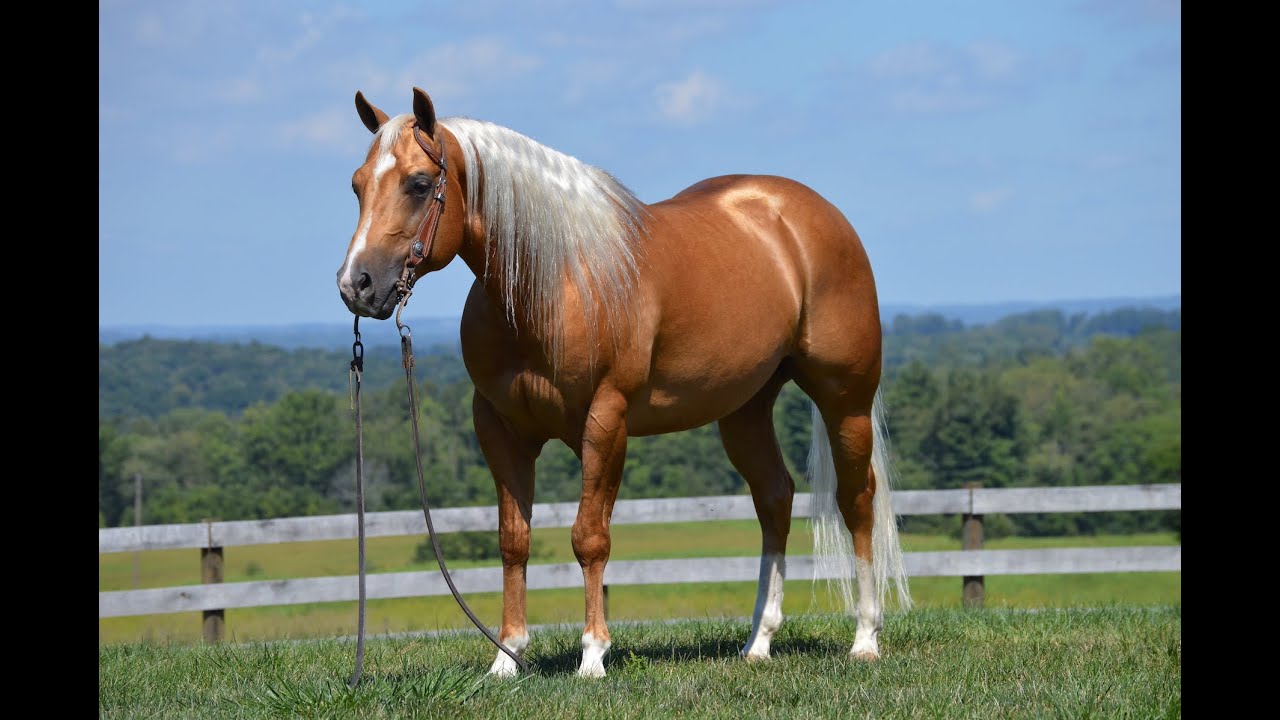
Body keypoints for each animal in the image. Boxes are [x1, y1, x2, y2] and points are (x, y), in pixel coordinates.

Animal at [336, 88, 911, 678]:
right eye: (357, 184)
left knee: (856, 500)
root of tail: (813, 215)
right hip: (745, 410)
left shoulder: (606, 420)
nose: (356, 285)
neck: (556, 282)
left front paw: (592, 655)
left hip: (845, 400)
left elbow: (590, 538)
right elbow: (513, 540)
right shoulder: (499, 428)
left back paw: (865, 637)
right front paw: (507, 656)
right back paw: (759, 642)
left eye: (418, 184)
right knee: (775, 498)